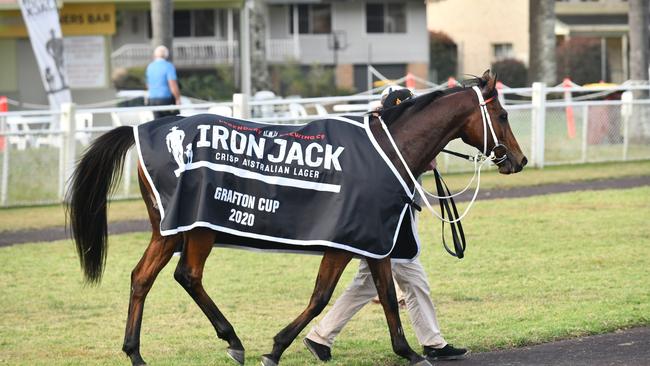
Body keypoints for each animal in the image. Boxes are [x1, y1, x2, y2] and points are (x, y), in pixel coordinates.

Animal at [64, 71, 520, 366]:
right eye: (502, 116)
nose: (518, 159)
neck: (387, 149)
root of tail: (143, 132)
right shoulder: (354, 239)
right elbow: (331, 296)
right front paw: (280, 346)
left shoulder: (368, 241)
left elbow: (376, 295)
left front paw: (408, 350)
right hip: (192, 228)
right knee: (182, 275)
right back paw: (226, 340)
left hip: (175, 229)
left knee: (148, 277)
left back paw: (140, 351)